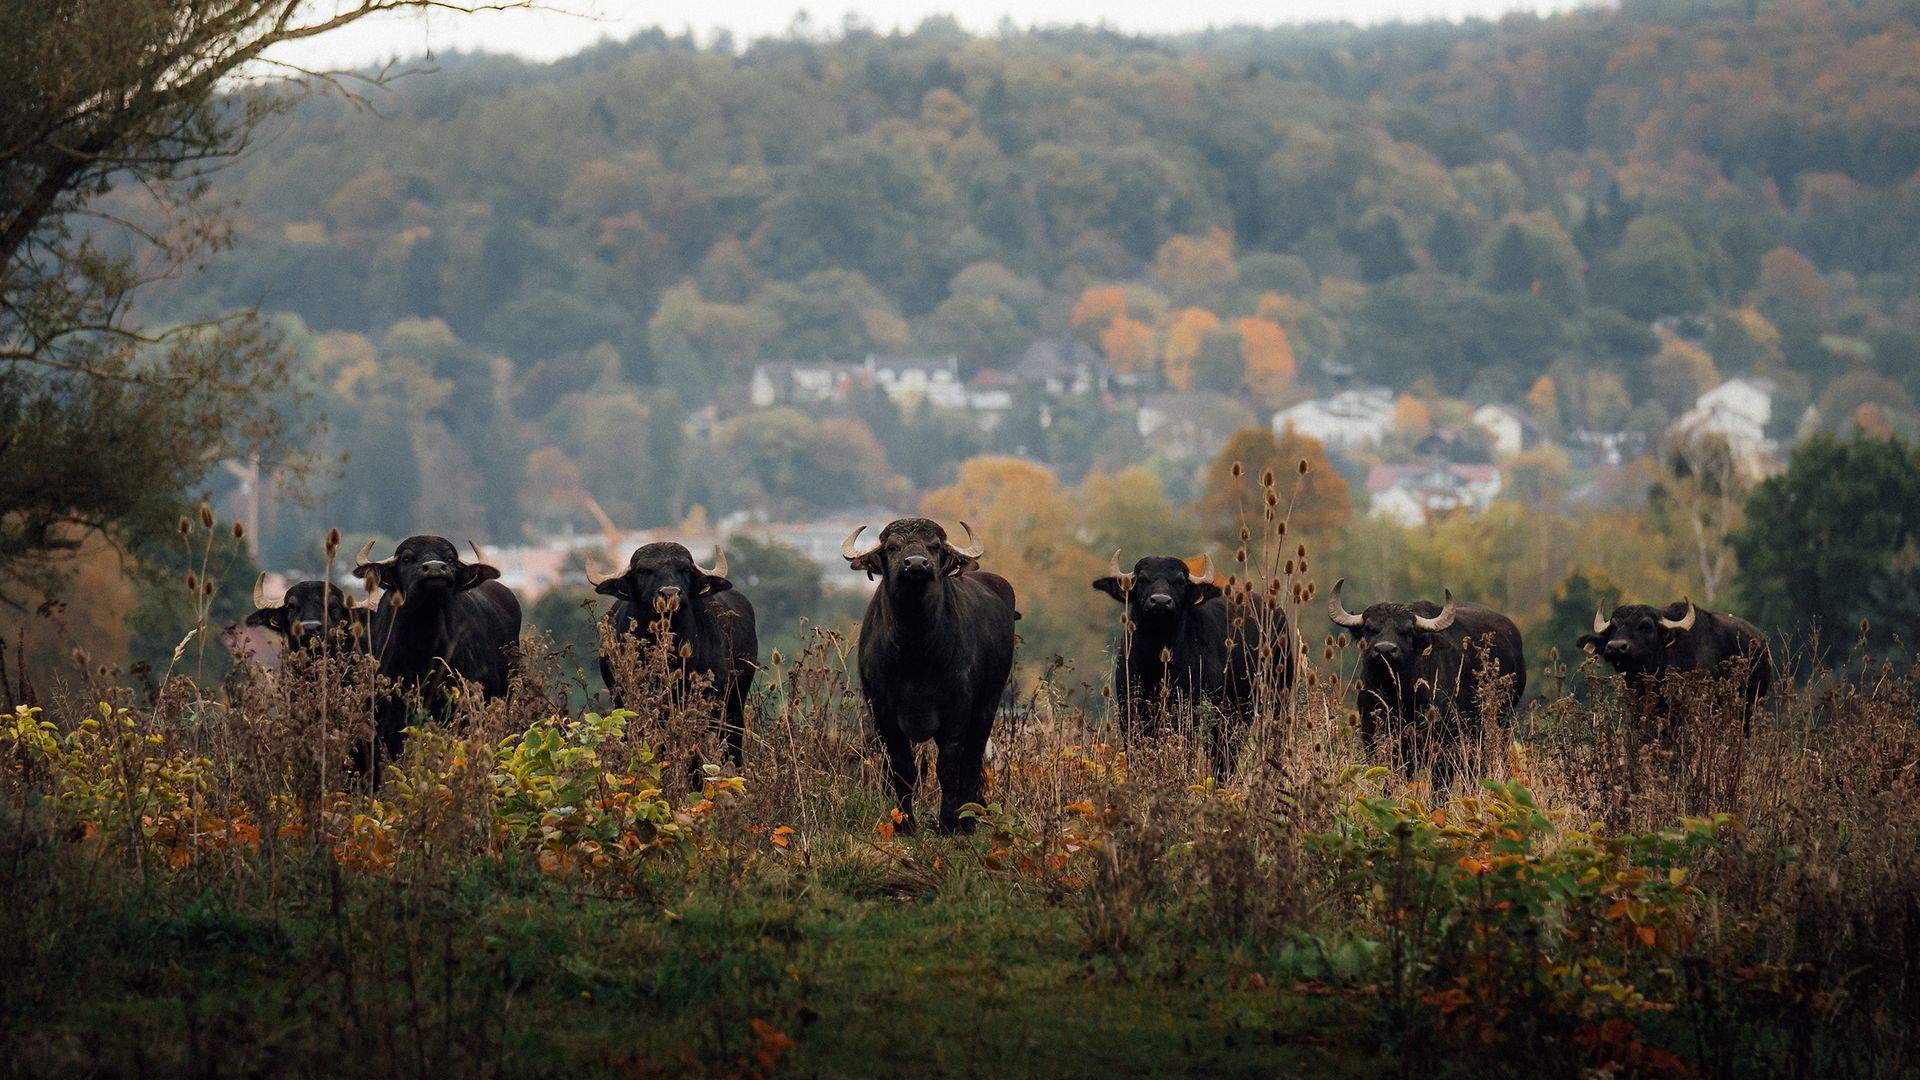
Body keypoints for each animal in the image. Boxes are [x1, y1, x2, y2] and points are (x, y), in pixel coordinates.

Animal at [844, 518, 1017, 834]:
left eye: (934, 546)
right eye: (892, 547)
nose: (915, 564)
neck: (915, 652)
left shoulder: (957, 711)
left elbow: (948, 768)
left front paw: (948, 824)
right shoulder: (882, 712)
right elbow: (902, 769)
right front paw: (904, 824)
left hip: (987, 707)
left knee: (971, 762)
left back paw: (968, 821)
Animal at [1092, 550, 1291, 768]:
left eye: (1180, 581)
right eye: (1142, 579)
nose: (1160, 601)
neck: (1156, 663)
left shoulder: (1190, 714)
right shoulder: (1129, 713)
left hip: (1276, 699)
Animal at [1328, 581, 1526, 788]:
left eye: (1408, 630)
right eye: (1368, 628)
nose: (1385, 649)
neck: (1397, 696)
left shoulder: (1444, 751)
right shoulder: (1376, 743)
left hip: (1498, 730)